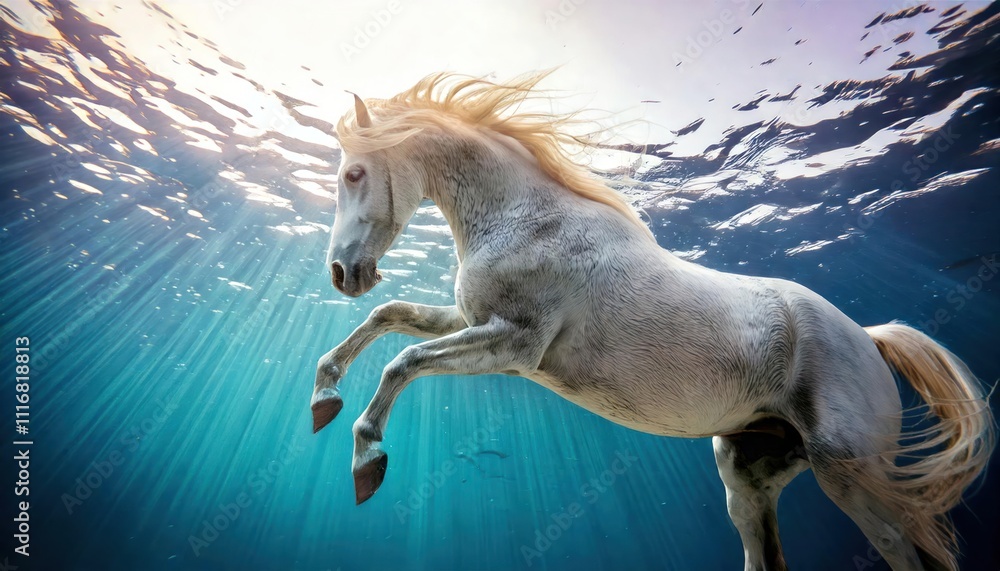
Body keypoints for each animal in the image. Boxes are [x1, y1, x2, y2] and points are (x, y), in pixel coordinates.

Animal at [310, 71, 994, 571]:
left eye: (353, 173)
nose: (342, 272)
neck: (528, 218)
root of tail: (871, 340)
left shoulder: (514, 344)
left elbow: (406, 361)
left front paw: (366, 457)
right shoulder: (472, 320)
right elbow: (390, 317)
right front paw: (324, 396)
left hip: (852, 478)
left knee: (904, 551)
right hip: (747, 480)